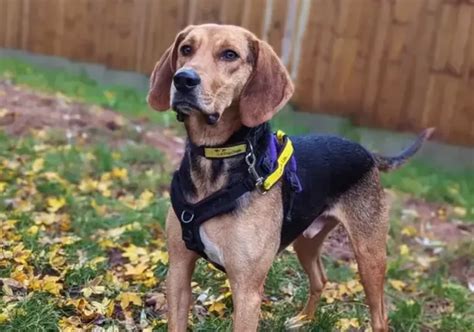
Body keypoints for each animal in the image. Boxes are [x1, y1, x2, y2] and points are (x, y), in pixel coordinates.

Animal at [147, 24, 434, 332]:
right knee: (320, 279)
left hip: (369, 255)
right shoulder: (178, 270)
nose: (183, 79)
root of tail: (367, 152)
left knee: (379, 316)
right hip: (306, 242)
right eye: (186, 49)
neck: (215, 158)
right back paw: (303, 319)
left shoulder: (247, 291)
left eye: (229, 54)